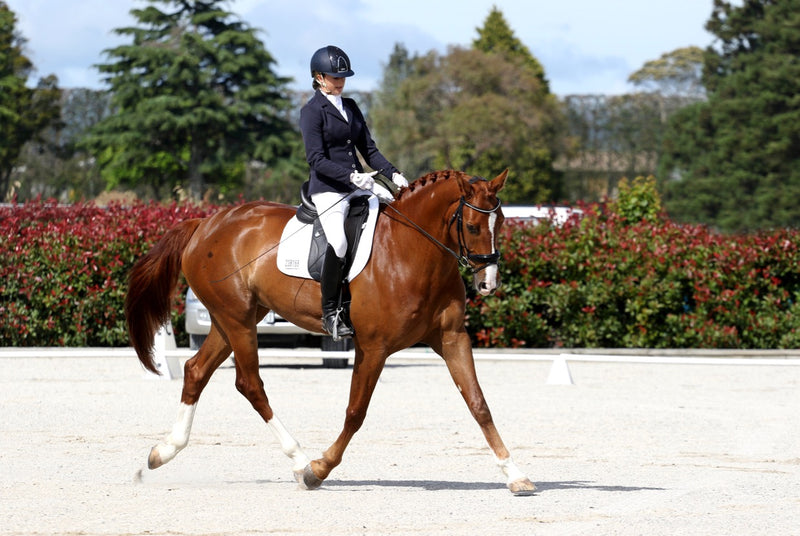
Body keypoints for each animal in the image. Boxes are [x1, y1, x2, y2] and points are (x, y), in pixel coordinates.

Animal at [125, 168, 536, 494]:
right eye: (471, 226)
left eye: (502, 223)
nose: (488, 284)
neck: (412, 251)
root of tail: (204, 224)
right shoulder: (373, 347)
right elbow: (356, 412)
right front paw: (318, 470)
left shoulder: (452, 339)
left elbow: (479, 404)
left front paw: (515, 475)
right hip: (237, 319)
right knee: (250, 384)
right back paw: (298, 459)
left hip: (236, 319)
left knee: (196, 370)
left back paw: (161, 453)